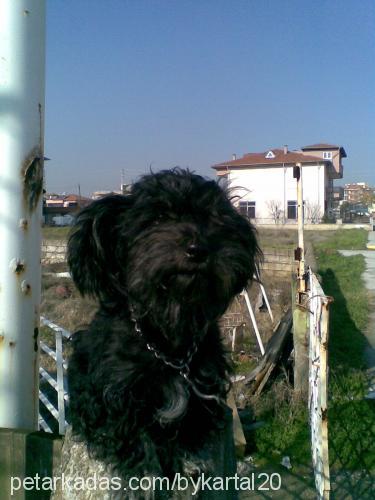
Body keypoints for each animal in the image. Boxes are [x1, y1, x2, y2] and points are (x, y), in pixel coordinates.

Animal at [67, 168, 260, 480]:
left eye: (213, 217)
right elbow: (134, 434)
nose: (197, 249)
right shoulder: (119, 392)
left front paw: (190, 456)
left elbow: (193, 423)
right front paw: (145, 467)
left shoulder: (203, 383)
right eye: (157, 219)